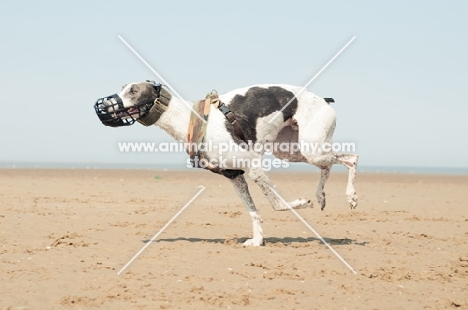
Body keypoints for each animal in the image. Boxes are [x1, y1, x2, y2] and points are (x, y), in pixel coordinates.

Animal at [94, 81, 358, 246]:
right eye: (123, 89)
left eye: (133, 91)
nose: (101, 107)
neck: (188, 120)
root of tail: (324, 100)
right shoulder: (235, 176)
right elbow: (254, 212)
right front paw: (258, 240)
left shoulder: (253, 167)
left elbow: (277, 204)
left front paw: (301, 203)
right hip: (293, 150)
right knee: (328, 165)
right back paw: (321, 196)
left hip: (311, 149)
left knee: (351, 158)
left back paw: (351, 196)